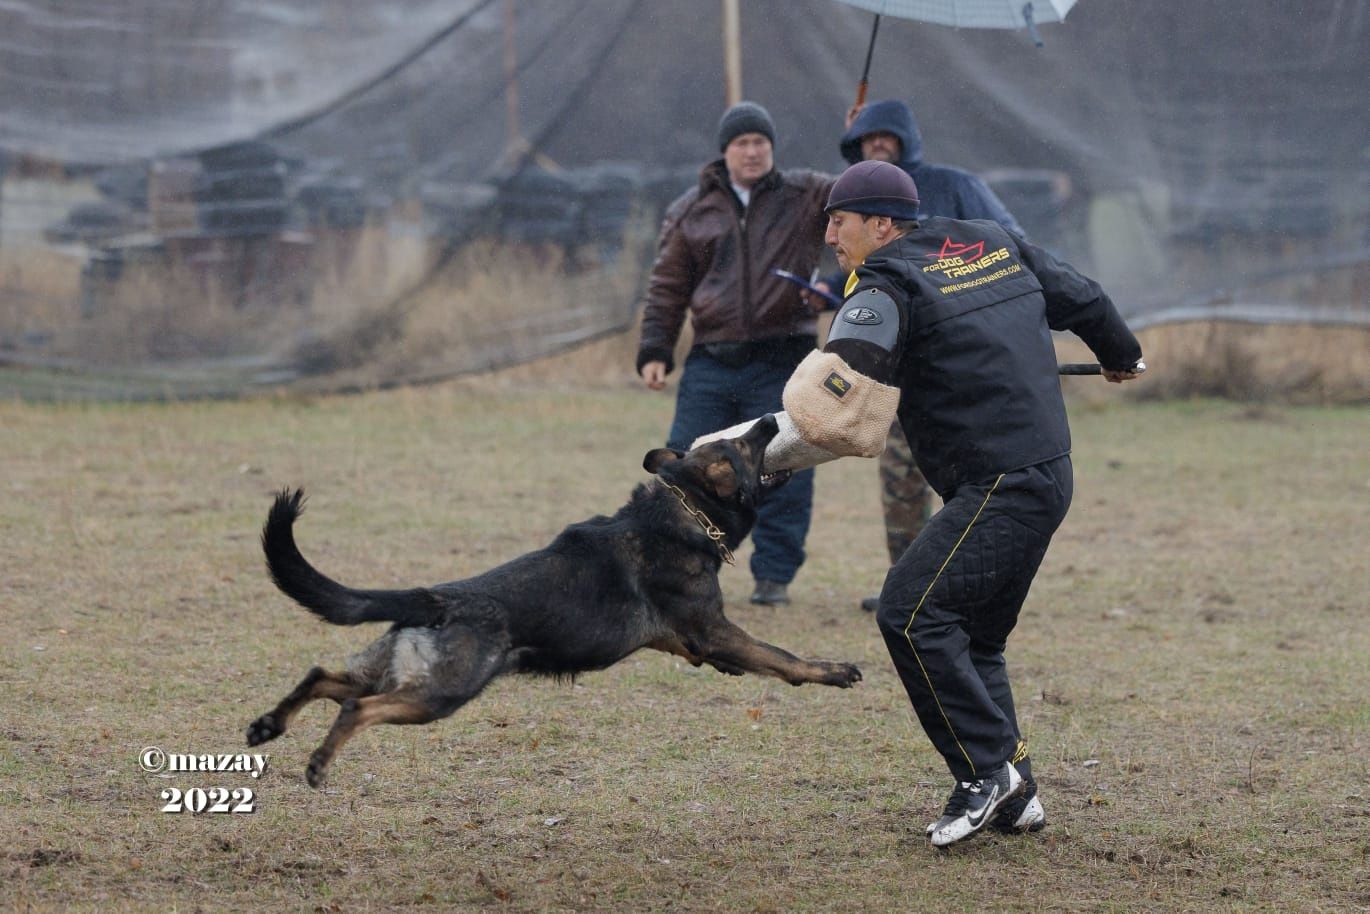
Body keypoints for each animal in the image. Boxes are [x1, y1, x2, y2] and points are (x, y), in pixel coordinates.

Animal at [249, 416, 854, 789]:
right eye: (744, 446)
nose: (771, 419)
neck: (683, 509)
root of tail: (435, 598)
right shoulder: (714, 628)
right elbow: (779, 656)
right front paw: (830, 670)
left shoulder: (680, 637)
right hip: (439, 694)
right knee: (356, 708)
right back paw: (319, 762)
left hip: (390, 672)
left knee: (323, 676)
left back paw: (269, 726)